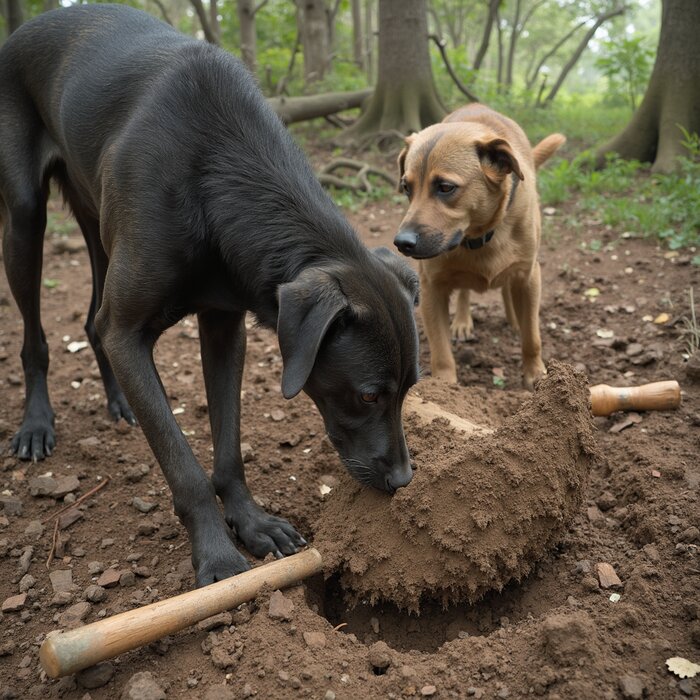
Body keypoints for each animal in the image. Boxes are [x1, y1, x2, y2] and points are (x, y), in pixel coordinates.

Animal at [0, 4, 418, 584]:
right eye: (369, 395)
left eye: (410, 389)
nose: (404, 481)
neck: (218, 169)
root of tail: (27, 28)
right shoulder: (128, 333)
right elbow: (185, 467)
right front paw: (218, 556)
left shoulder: (224, 326)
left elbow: (229, 448)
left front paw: (252, 522)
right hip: (23, 216)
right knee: (37, 334)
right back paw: (36, 424)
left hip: (97, 219)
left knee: (91, 323)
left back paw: (119, 401)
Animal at [394, 102, 564, 388]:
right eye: (407, 187)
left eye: (445, 187)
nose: (402, 243)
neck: (479, 237)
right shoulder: (432, 287)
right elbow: (441, 351)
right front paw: (445, 388)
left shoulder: (529, 275)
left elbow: (532, 336)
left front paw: (535, 374)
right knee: (465, 291)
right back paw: (463, 320)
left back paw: (514, 318)